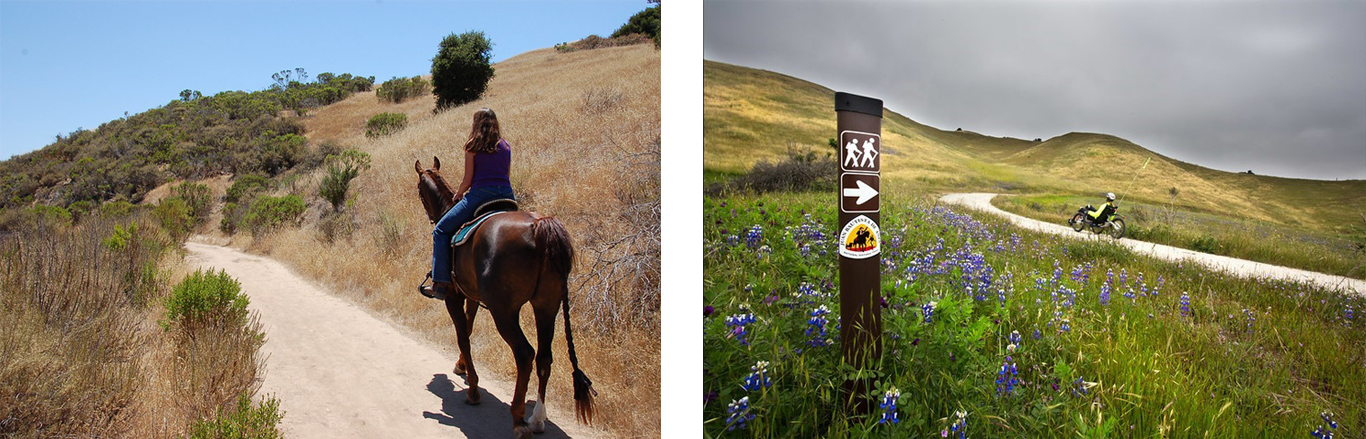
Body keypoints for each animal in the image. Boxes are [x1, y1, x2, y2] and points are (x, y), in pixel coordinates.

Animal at [409, 156, 592, 434]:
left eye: (420, 191)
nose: (430, 217)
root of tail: (538, 226)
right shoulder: (472, 297)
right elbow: (469, 329)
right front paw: (461, 366)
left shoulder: (453, 297)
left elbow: (463, 336)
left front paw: (473, 390)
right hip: (547, 306)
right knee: (544, 357)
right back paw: (537, 418)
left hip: (504, 312)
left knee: (525, 354)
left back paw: (518, 418)